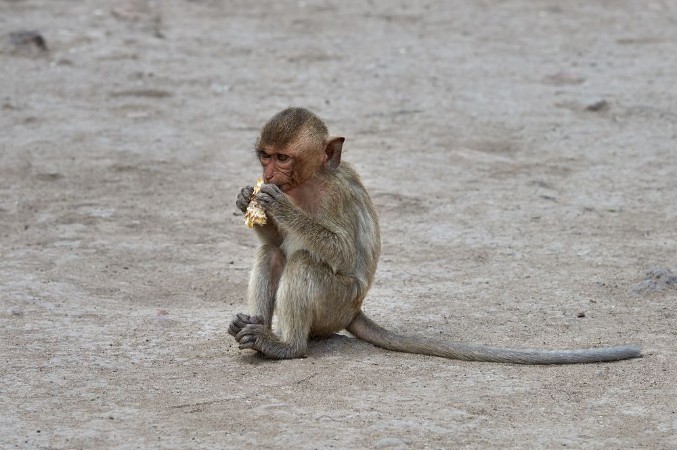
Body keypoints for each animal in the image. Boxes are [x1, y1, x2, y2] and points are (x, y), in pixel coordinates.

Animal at [228, 107, 641, 364]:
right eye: (265, 155)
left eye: (282, 158)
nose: (269, 174)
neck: (309, 182)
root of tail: (355, 310)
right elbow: (273, 244)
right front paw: (248, 198)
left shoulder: (334, 195)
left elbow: (342, 252)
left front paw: (279, 207)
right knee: (274, 256)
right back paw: (254, 328)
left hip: (336, 303)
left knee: (304, 262)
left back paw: (286, 346)